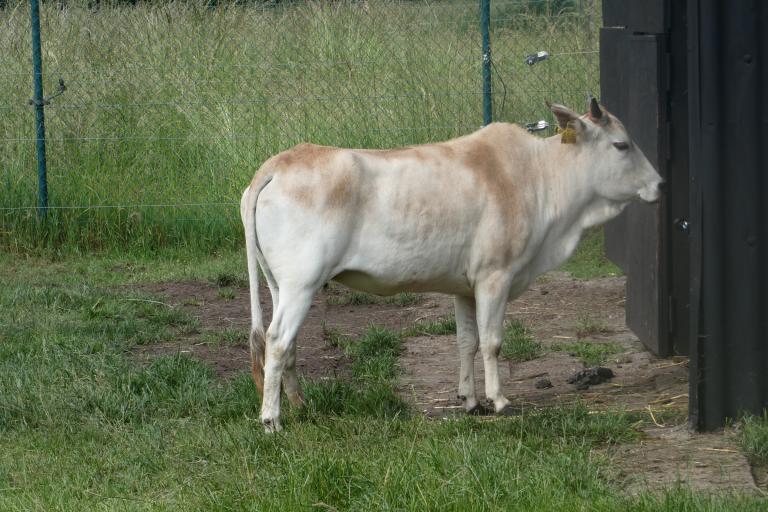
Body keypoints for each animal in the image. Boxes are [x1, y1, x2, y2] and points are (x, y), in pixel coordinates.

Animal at [240, 98, 660, 430]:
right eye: (622, 145)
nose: (659, 184)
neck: (539, 178)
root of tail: (279, 163)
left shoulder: (465, 286)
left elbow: (465, 341)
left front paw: (470, 401)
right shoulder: (495, 276)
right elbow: (492, 342)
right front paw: (499, 401)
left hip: (282, 285)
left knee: (288, 345)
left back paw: (300, 406)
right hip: (302, 284)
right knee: (277, 341)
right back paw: (272, 420)